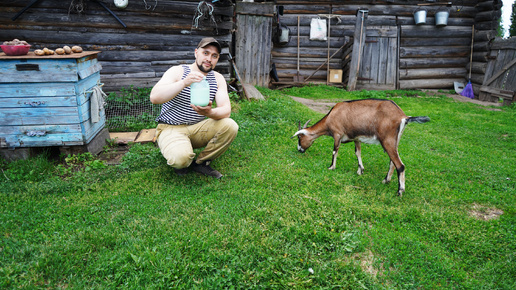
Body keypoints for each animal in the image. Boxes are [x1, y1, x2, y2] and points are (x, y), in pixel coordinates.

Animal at [292, 98, 430, 196]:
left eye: (299, 138)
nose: (300, 150)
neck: (332, 115)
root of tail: (404, 117)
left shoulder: (337, 134)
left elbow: (335, 151)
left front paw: (331, 167)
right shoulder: (356, 138)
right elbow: (357, 152)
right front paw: (360, 171)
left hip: (387, 140)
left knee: (400, 165)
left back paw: (400, 191)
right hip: (395, 141)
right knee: (393, 161)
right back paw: (386, 180)